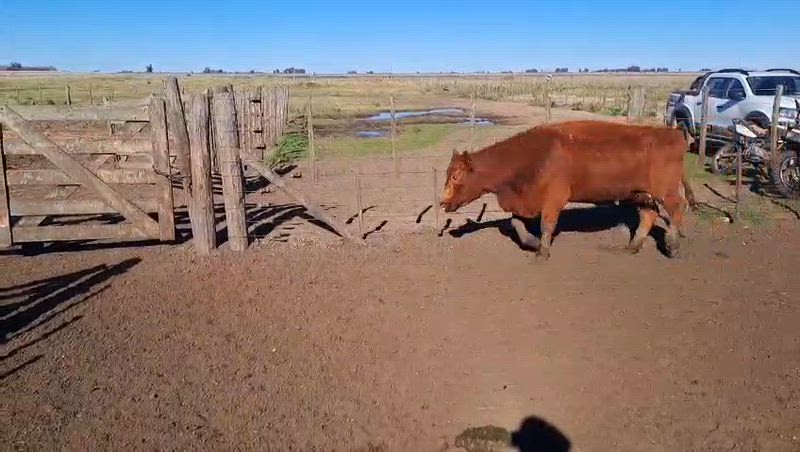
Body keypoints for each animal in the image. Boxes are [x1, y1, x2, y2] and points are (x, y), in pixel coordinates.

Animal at [440, 120, 696, 260]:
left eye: (456, 176)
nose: (443, 203)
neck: (531, 156)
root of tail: (673, 133)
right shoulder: (524, 201)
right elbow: (517, 224)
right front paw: (533, 243)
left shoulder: (554, 199)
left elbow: (546, 226)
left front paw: (541, 254)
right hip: (641, 194)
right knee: (648, 215)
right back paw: (630, 248)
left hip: (666, 190)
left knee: (677, 208)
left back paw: (672, 246)